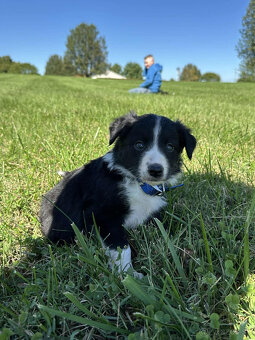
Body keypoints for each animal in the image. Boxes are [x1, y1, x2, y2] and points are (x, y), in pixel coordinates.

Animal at [39, 113, 196, 278]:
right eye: (139, 145)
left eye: (170, 147)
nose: (155, 170)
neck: (139, 184)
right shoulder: (103, 214)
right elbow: (122, 247)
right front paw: (128, 274)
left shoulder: (152, 214)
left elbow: (164, 231)